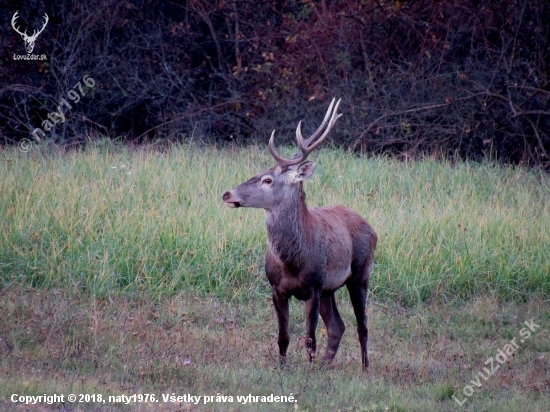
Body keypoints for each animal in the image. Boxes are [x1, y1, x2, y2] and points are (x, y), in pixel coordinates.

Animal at [222, 98, 378, 368]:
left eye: (267, 180)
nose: (227, 194)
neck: (293, 262)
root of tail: (371, 227)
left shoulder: (313, 287)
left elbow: (310, 338)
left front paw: (307, 370)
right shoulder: (277, 288)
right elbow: (283, 336)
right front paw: (283, 368)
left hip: (360, 273)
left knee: (362, 326)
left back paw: (364, 368)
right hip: (330, 289)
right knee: (337, 326)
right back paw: (325, 367)